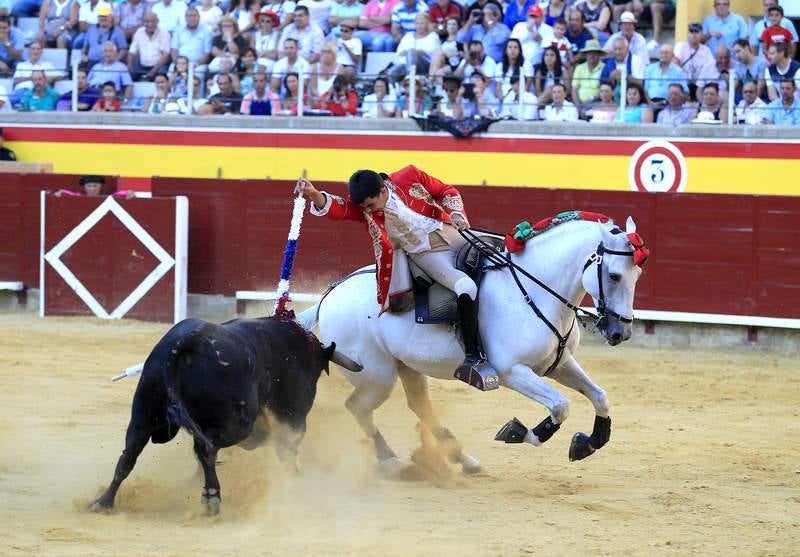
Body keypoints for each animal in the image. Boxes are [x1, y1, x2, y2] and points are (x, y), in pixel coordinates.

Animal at [91, 314, 362, 516]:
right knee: (207, 449)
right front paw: (296, 479)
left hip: (142, 416)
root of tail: (184, 345)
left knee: (129, 456)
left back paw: (103, 502)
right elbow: (286, 445)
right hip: (238, 424)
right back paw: (211, 497)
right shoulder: (292, 414)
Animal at [296, 215, 648, 472]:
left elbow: (600, 396)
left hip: (406, 366)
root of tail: (330, 294)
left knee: (419, 406)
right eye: (614, 276)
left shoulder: (558, 364)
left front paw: (588, 443)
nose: (621, 333)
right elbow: (561, 405)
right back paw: (391, 459)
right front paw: (518, 432)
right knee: (358, 406)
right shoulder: (511, 371)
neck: (534, 291)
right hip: (377, 376)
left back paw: (461, 459)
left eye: (638, 274)